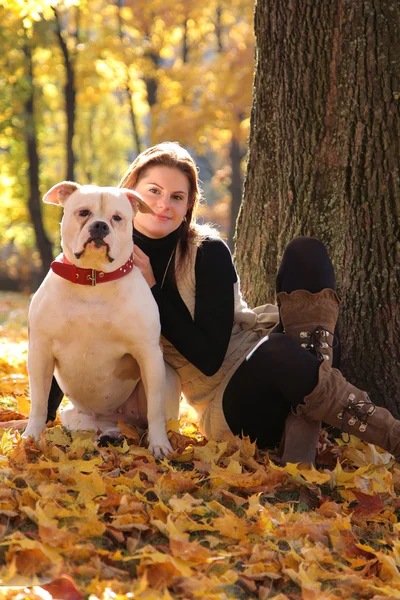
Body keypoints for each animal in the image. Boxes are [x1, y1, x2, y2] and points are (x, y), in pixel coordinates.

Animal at [22, 183, 177, 460]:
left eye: (117, 218)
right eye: (83, 212)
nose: (100, 226)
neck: (93, 278)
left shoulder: (149, 354)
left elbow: (156, 410)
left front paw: (159, 445)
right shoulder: (40, 351)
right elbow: (39, 402)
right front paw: (31, 438)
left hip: (166, 378)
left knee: (148, 420)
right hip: (76, 416)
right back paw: (107, 436)